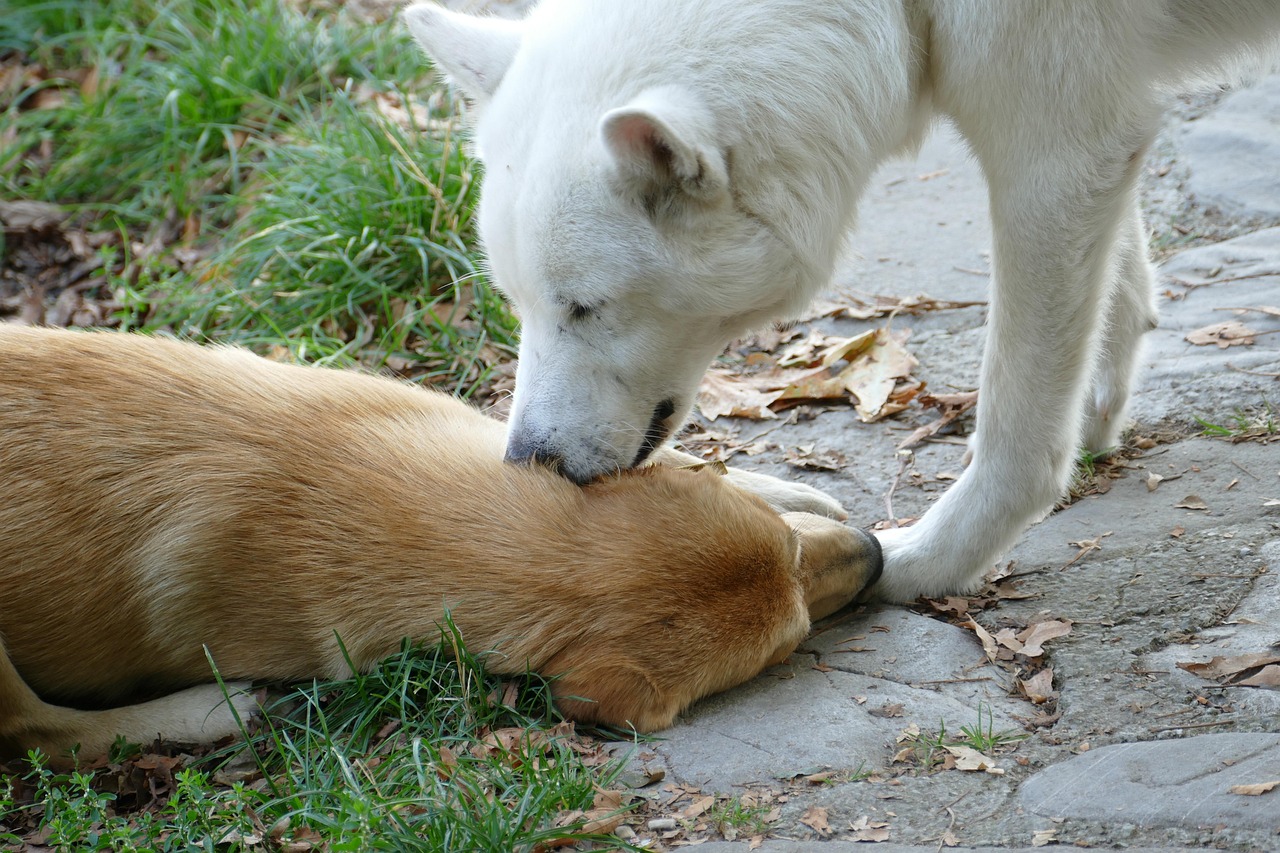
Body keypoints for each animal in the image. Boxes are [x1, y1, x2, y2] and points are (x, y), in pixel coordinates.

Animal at [0, 325, 880, 758]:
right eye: (791, 638)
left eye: (789, 548)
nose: (874, 551)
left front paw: (784, 483)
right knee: (41, 734)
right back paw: (214, 709)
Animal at [407, 1, 1280, 596]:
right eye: (519, 304)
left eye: (583, 308)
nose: (529, 462)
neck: (899, 10)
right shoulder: (1096, 151)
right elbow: (1113, 294)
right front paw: (1099, 414)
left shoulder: (1051, 156)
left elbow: (1017, 421)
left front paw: (927, 561)